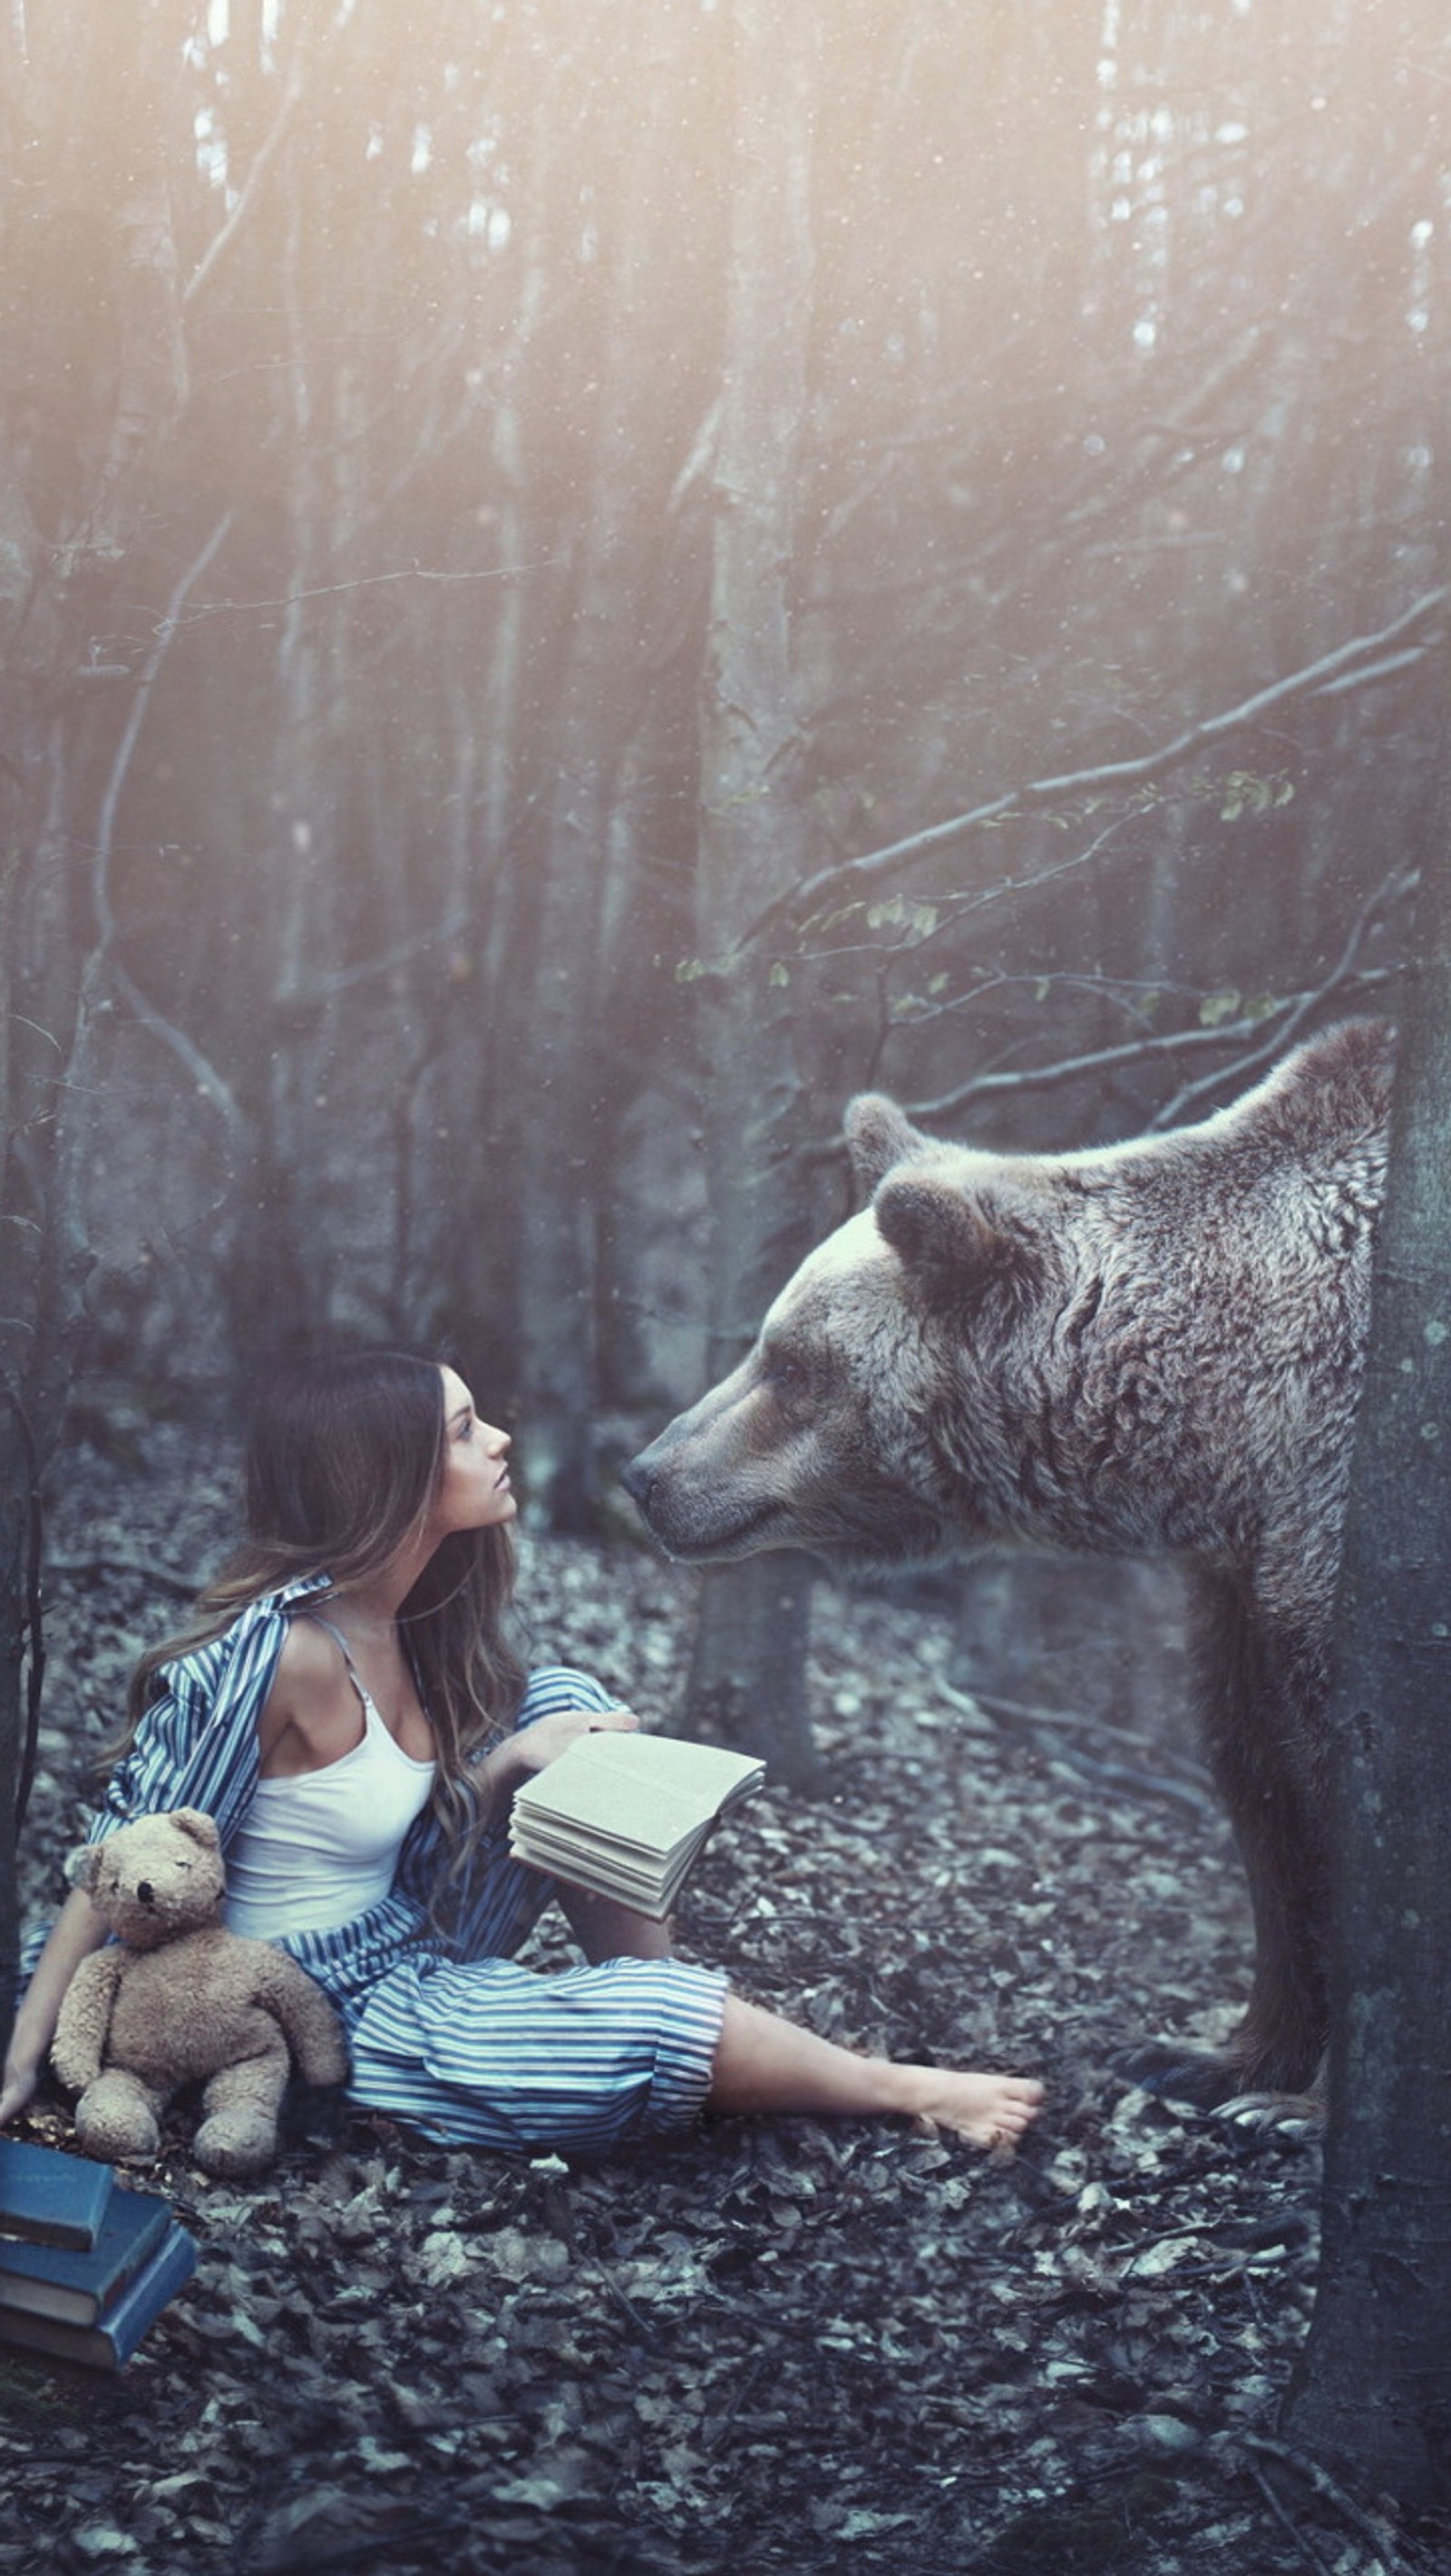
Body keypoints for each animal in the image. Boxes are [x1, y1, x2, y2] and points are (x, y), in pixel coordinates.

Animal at [623, 1014, 1391, 2102]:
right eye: (768, 1342)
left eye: (793, 1363)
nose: (648, 1473)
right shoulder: (1247, 1568)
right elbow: (1264, 1775)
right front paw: (1215, 2056)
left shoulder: (1333, 1512)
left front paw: (1301, 2107)